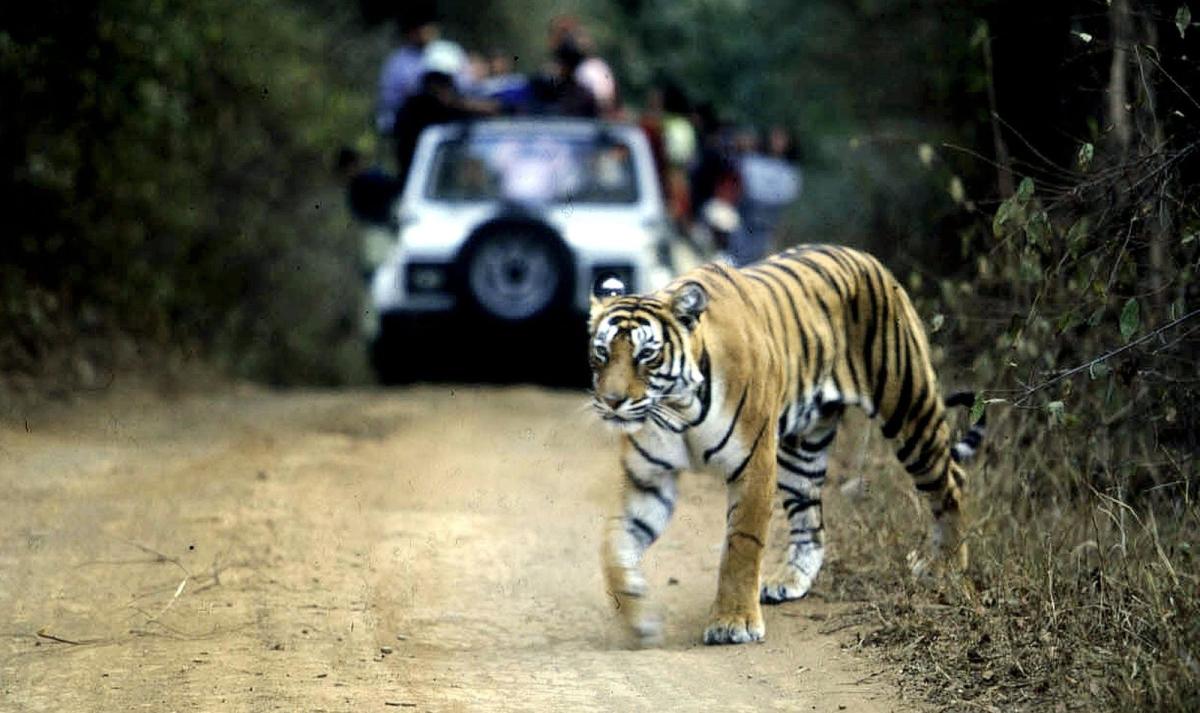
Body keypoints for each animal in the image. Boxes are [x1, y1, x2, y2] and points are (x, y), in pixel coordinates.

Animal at [587, 244, 986, 646]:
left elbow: (741, 544)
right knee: (810, 520)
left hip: (909, 408)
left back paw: (947, 566)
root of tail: (864, 256)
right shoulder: (649, 481)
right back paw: (790, 581)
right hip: (801, 450)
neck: (677, 408)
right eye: (602, 353)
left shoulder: (753, 465)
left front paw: (734, 623)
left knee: (952, 480)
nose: (612, 401)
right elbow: (614, 546)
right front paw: (640, 619)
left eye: (646, 355)